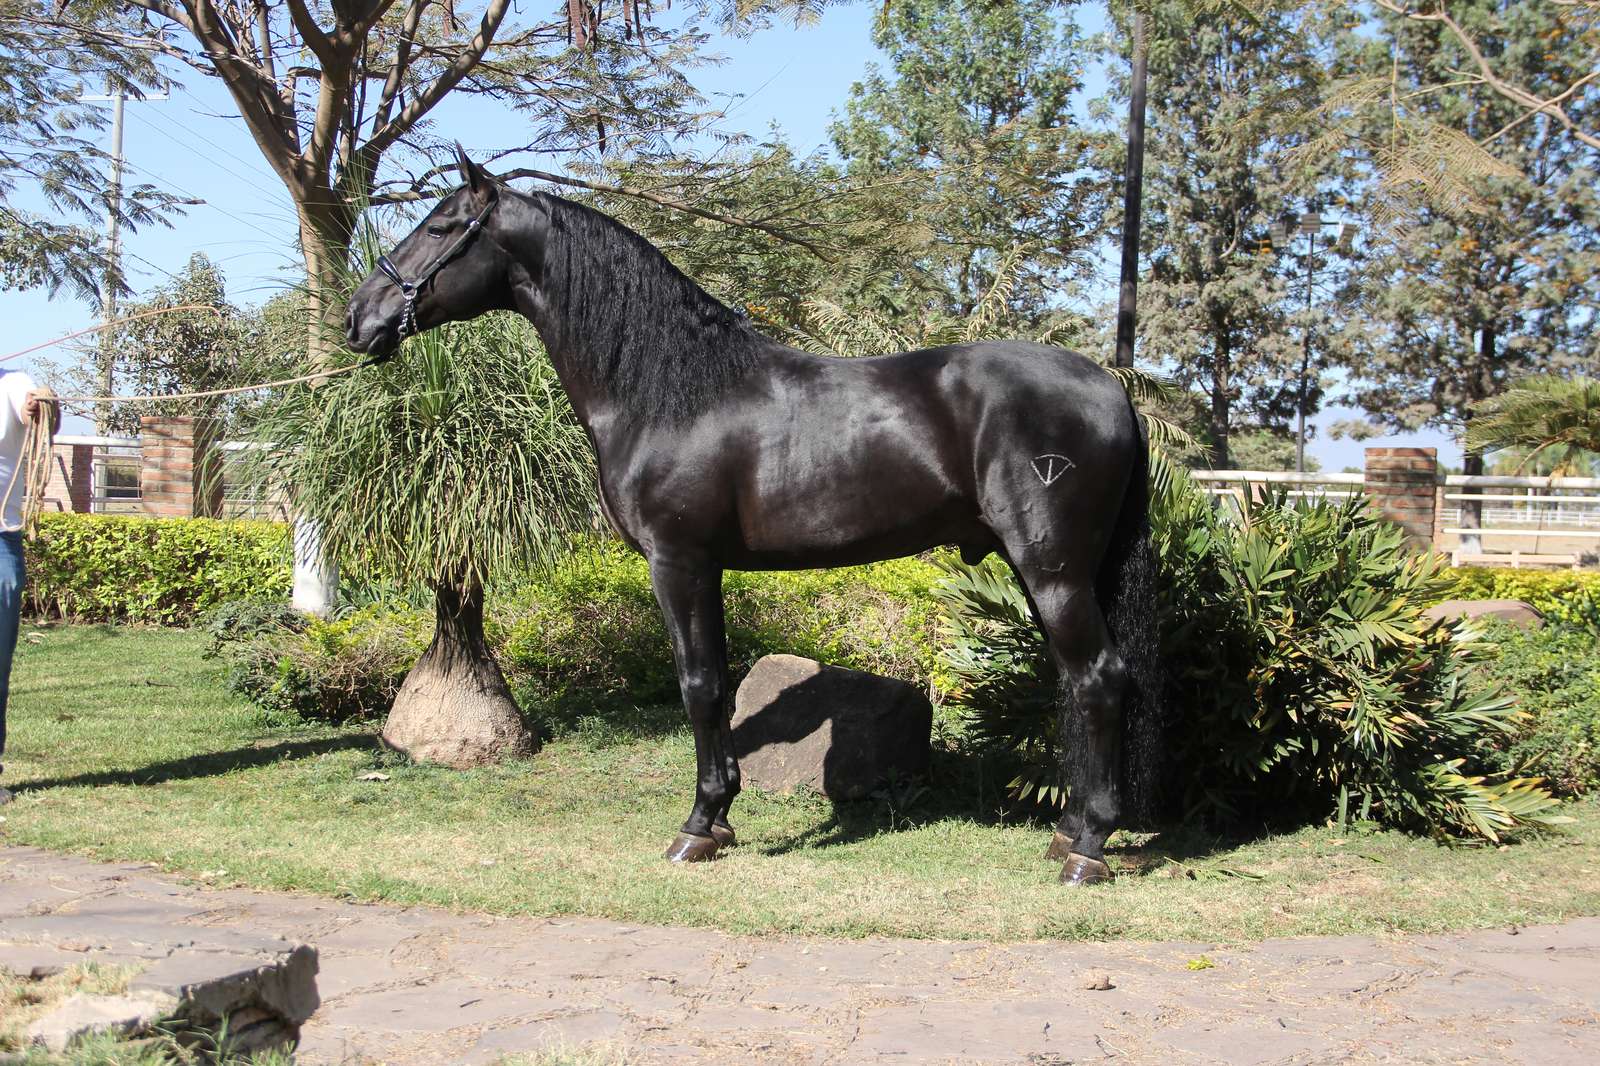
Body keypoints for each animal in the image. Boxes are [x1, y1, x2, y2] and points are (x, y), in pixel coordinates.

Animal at [345, 149, 1164, 885]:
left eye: (438, 225)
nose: (360, 319)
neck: (670, 392)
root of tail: (1112, 390)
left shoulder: (678, 561)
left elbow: (701, 686)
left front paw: (699, 826)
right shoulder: (702, 567)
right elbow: (714, 682)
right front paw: (721, 819)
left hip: (1053, 571)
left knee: (1099, 679)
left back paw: (1089, 847)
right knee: (1076, 683)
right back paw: (1068, 832)